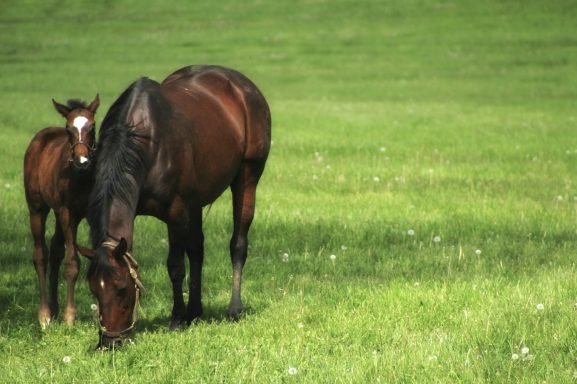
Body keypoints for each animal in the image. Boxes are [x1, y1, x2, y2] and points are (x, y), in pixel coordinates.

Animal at [23, 95, 99, 328]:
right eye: (68, 129)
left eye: (92, 127)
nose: (82, 162)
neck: (81, 177)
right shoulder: (68, 212)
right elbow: (72, 262)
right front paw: (70, 317)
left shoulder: (91, 214)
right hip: (37, 207)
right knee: (40, 254)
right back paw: (45, 315)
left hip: (58, 214)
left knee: (55, 251)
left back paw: (54, 308)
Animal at [77, 65, 272, 348]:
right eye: (93, 288)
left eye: (122, 288)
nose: (110, 343)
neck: (144, 140)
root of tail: (243, 85)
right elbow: (190, 255)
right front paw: (186, 314)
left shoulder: (176, 212)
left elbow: (176, 266)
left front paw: (177, 318)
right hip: (196, 202)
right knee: (198, 249)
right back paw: (196, 311)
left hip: (247, 179)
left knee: (238, 244)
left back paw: (233, 308)